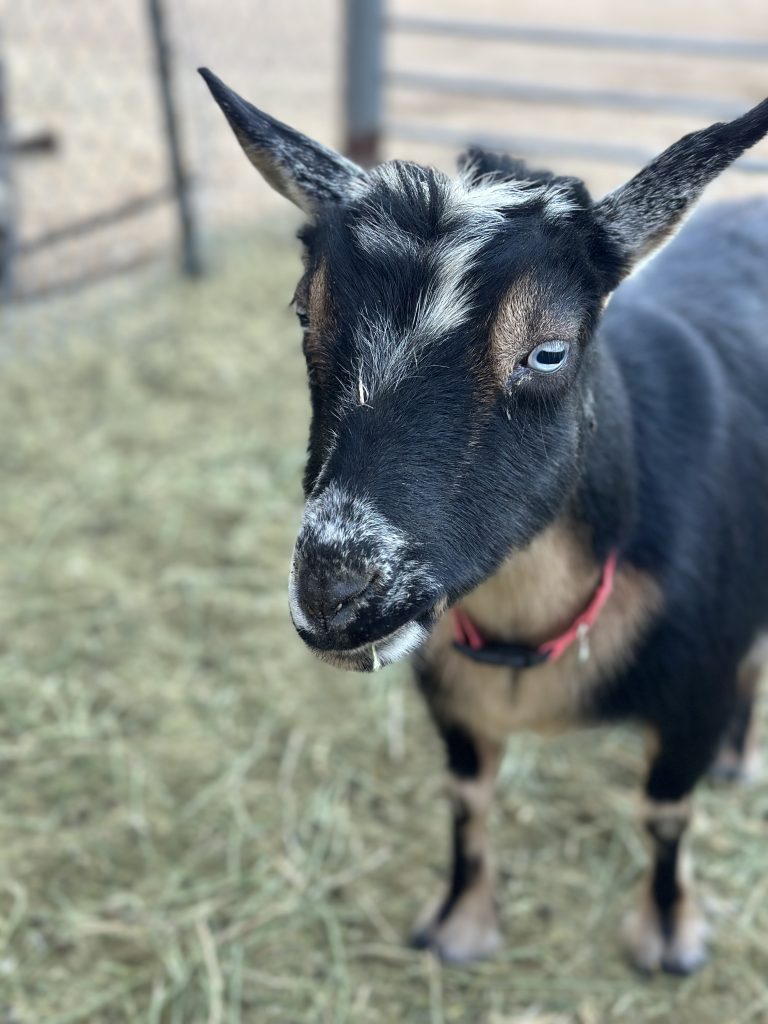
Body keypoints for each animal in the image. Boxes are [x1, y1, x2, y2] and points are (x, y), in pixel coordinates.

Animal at [201, 67, 768, 974]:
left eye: (549, 351)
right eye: (304, 313)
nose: (336, 589)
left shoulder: (697, 684)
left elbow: (664, 815)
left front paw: (669, 936)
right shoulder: (452, 699)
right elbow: (467, 801)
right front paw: (460, 924)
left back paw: (739, 761)